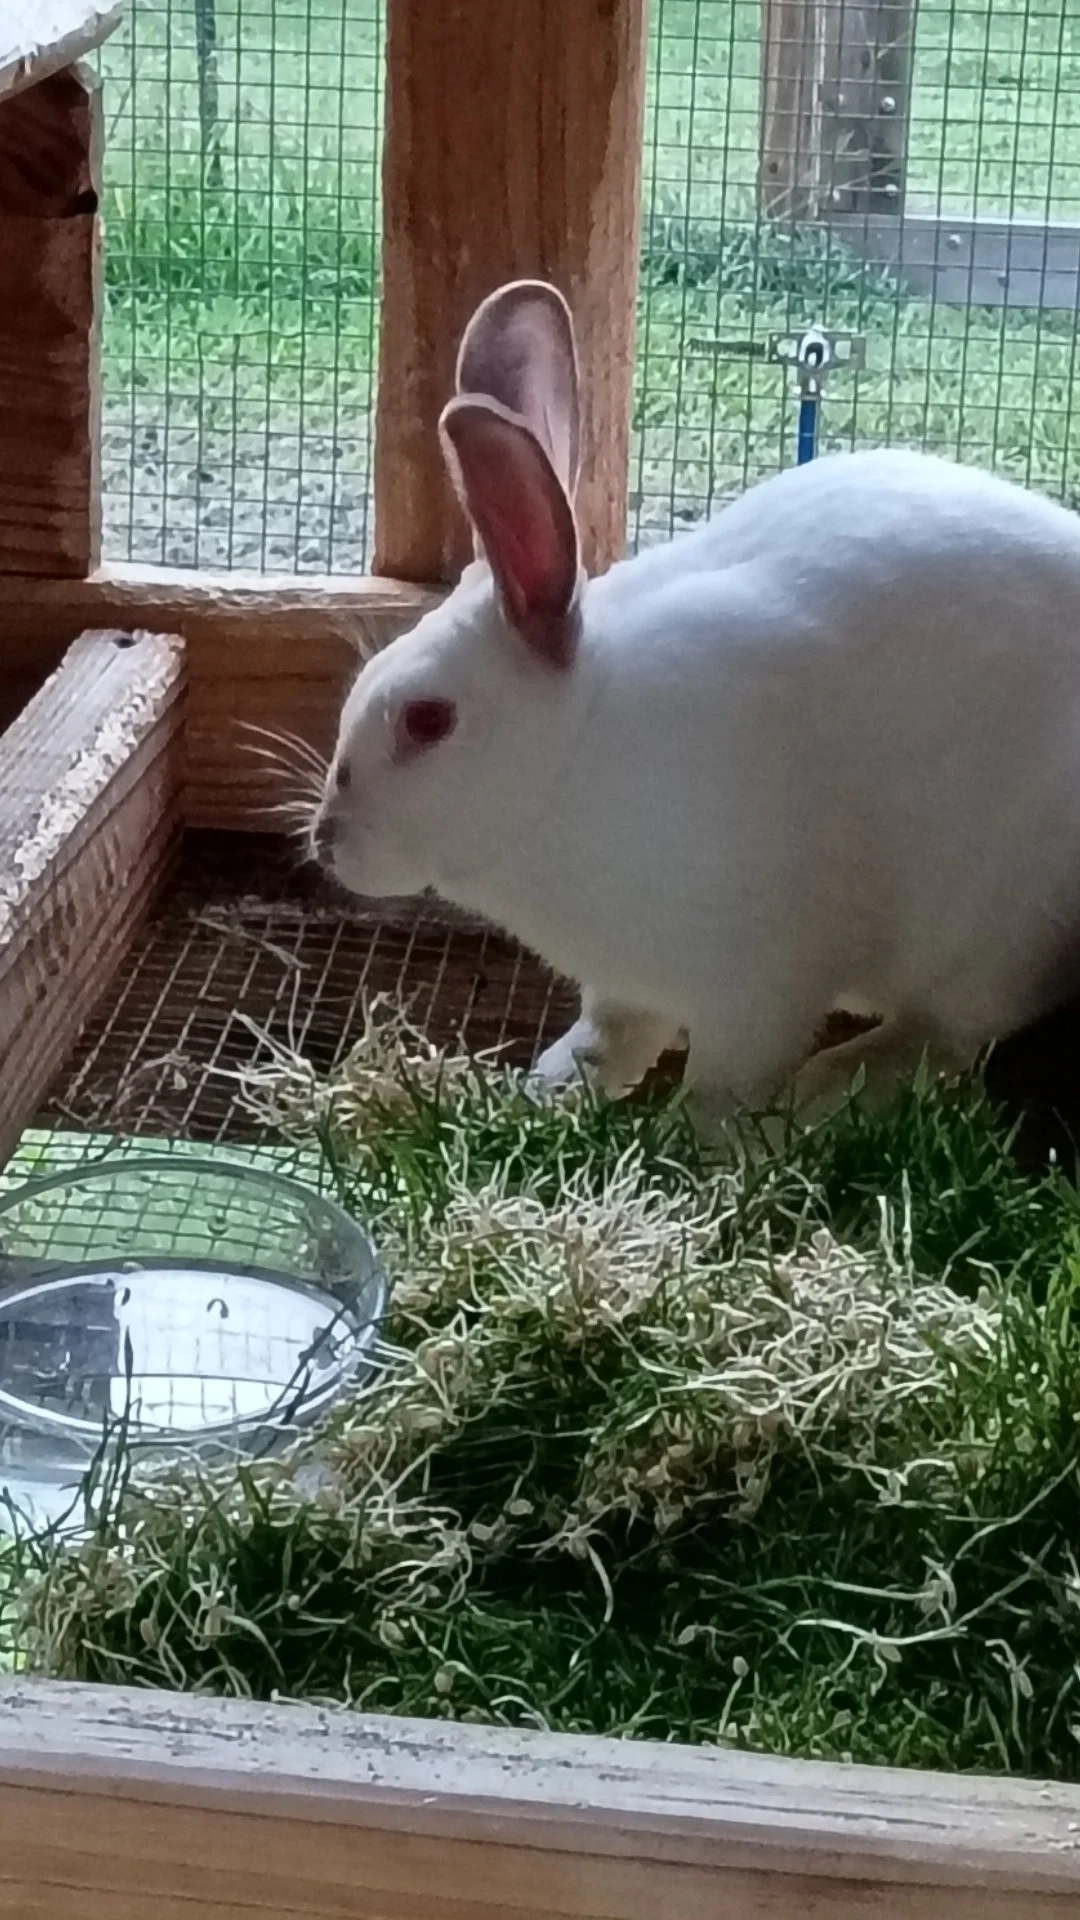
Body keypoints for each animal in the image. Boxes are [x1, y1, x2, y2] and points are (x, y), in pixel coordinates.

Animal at [311, 278, 1080, 1127]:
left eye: (427, 720)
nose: (327, 841)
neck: (575, 762)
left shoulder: (760, 983)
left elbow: (725, 1084)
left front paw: (699, 1141)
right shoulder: (625, 984)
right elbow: (611, 1036)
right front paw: (552, 1089)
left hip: (1001, 932)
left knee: (944, 1035)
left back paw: (827, 1087)